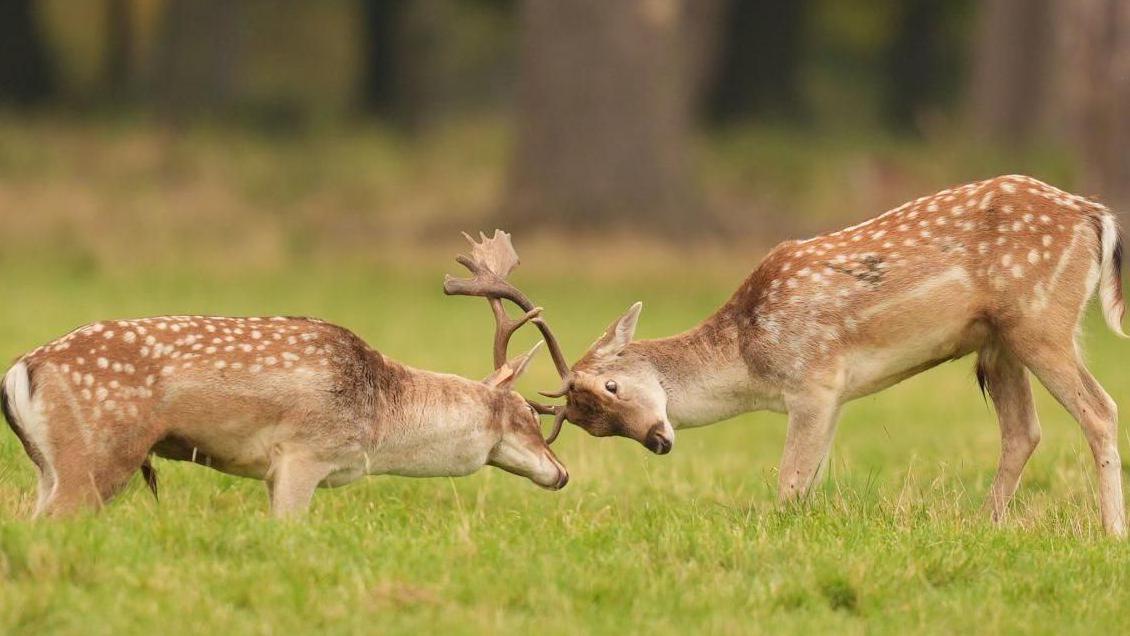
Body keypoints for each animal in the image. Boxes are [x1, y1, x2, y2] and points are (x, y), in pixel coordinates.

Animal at [0, 236, 568, 518]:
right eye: (528, 415)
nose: (561, 472)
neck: (379, 424)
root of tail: (21, 369)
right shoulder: (302, 454)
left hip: (50, 466)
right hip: (97, 455)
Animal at [503, 175, 1129, 535]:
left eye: (610, 387)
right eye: (596, 427)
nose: (658, 439)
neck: (750, 360)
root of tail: (1095, 215)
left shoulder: (814, 379)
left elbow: (789, 481)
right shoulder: (834, 396)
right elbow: (809, 482)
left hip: (1040, 319)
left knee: (1099, 409)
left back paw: (1110, 533)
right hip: (998, 342)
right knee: (1023, 430)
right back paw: (985, 528)